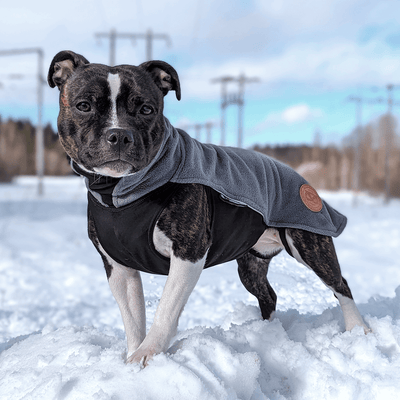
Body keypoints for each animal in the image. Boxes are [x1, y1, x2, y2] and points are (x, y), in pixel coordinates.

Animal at [47, 51, 368, 368]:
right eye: (84, 106)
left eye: (147, 109)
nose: (119, 135)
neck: (119, 192)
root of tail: (300, 178)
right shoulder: (118, 267)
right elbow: (133, 319)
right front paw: (132, 357)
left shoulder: (188, 253)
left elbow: (165, 308)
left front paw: (148, 354)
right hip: (250, 265)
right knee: (269, 295)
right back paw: (268, 331)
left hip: (309, 244)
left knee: (340, 284)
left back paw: (359, 330)